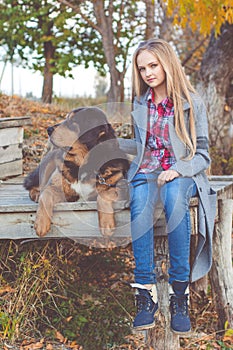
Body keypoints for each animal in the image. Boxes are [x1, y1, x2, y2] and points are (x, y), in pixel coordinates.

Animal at [24, 107, 130, 238]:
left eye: (72, 122)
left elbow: (103, 195)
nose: (48, 129)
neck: (83, 164)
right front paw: (41, 223)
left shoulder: (121, 188)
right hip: (48, 164)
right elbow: (46, 195)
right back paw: (36, 194)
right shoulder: (58, 189)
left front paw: (106, 224)